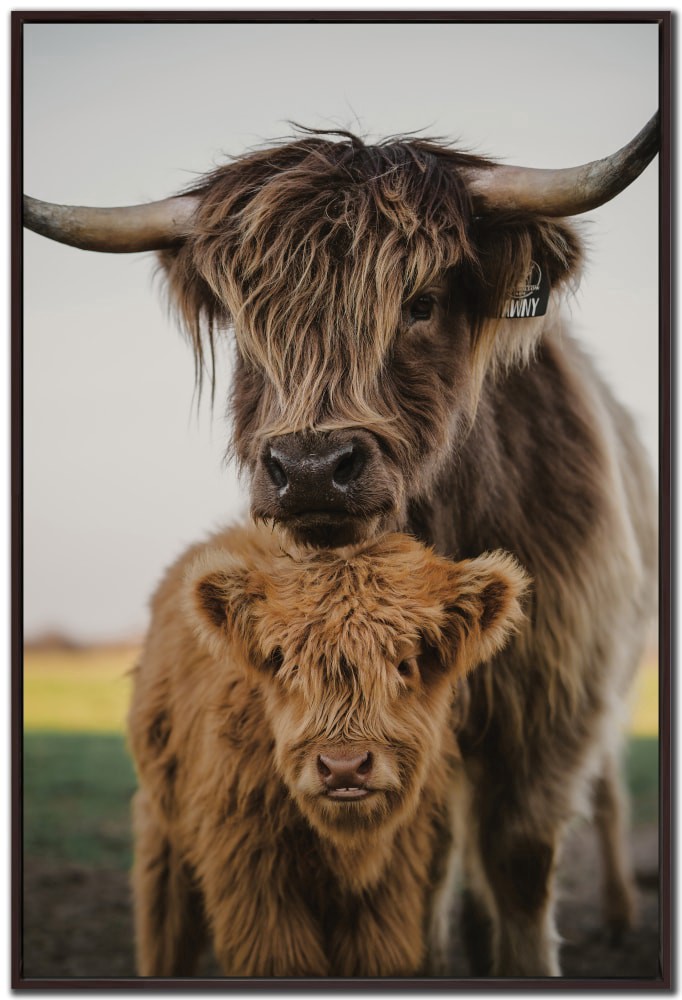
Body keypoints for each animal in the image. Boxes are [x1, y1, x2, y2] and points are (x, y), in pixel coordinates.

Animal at [128, 523, 528, 977]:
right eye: (287, 662)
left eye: (405, 664)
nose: (344, 768)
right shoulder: (254, 882)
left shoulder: (389, 894)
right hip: (162, 835)